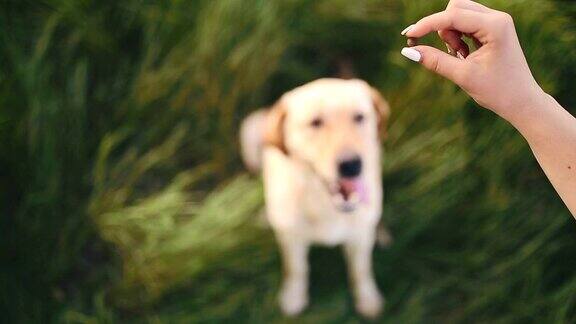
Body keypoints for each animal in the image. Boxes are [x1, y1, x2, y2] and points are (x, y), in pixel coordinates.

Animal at [238, 79, 392, 318]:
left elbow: (360, 270)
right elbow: (296, 269)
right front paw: (293, 296)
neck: (323, 203)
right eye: (315, 123)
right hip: (249, 131)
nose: (351, 165)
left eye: (359, 117)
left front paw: (367, 299)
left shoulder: (359, 239)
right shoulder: (291, 239)